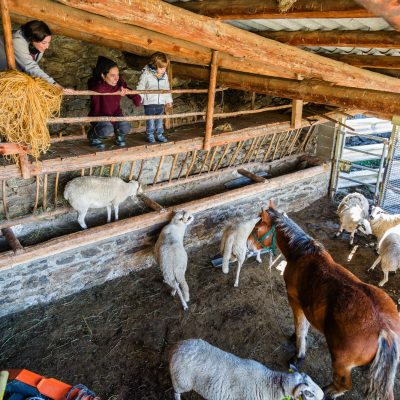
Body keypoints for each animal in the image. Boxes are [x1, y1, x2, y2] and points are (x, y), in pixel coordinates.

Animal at [170, 338, 324, 400]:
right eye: (308, 393)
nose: (323, 395)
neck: (269, 385)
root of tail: (177, 347)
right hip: (181, 381)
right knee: (176, 392)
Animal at [260, 203, 400, 400]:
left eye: (258, 226)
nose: (248, 244)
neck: (302, 253)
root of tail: (385, 331)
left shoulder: (295, 302)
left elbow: (300, 327)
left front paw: (298, 354)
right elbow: (304, 326)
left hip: (341, 362)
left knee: (344, 384)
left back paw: (328, 391)